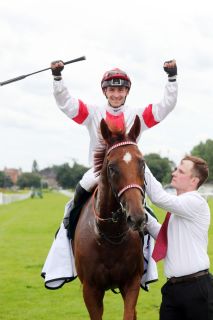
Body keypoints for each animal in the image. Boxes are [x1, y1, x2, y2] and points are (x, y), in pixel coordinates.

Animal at [74, 115, 146, 320]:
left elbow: (129, 314)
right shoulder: (90, 290)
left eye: (142, 163)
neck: (110, 236)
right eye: (112, 167)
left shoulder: (131, 282)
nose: (137, 217)